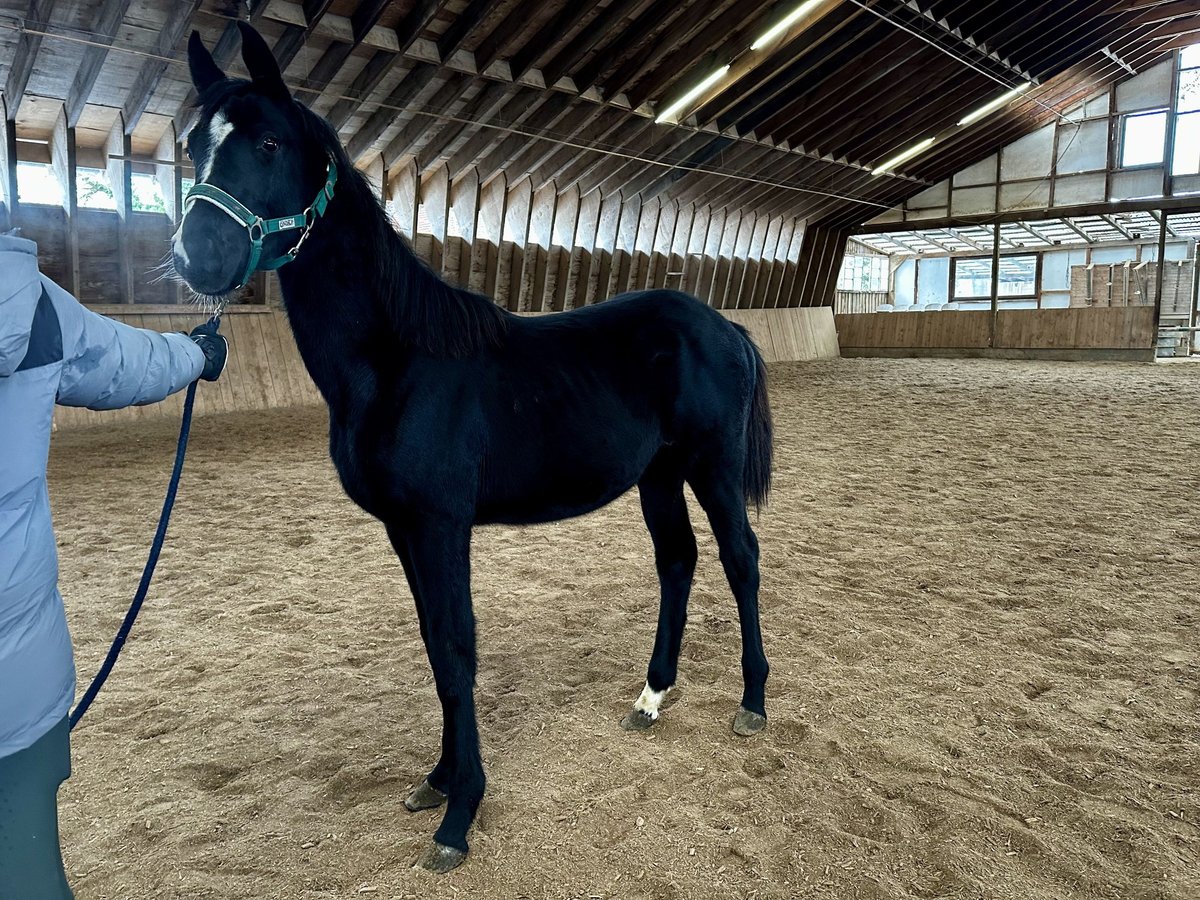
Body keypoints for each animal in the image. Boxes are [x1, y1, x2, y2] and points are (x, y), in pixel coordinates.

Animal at [178, 26, 777, 873]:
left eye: (266, 141)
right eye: (194, 145)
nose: (197, 255)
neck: (398, 360)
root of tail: (723, 324)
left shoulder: (441, 524)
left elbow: (459, 651)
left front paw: (459, 816)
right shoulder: (403, 530)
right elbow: (435, 649)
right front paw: (435, 780)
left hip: (712, 468)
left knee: (740, 560)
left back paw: (753, 701)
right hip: (658, 475)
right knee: (678, 562)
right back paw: (652, 696)